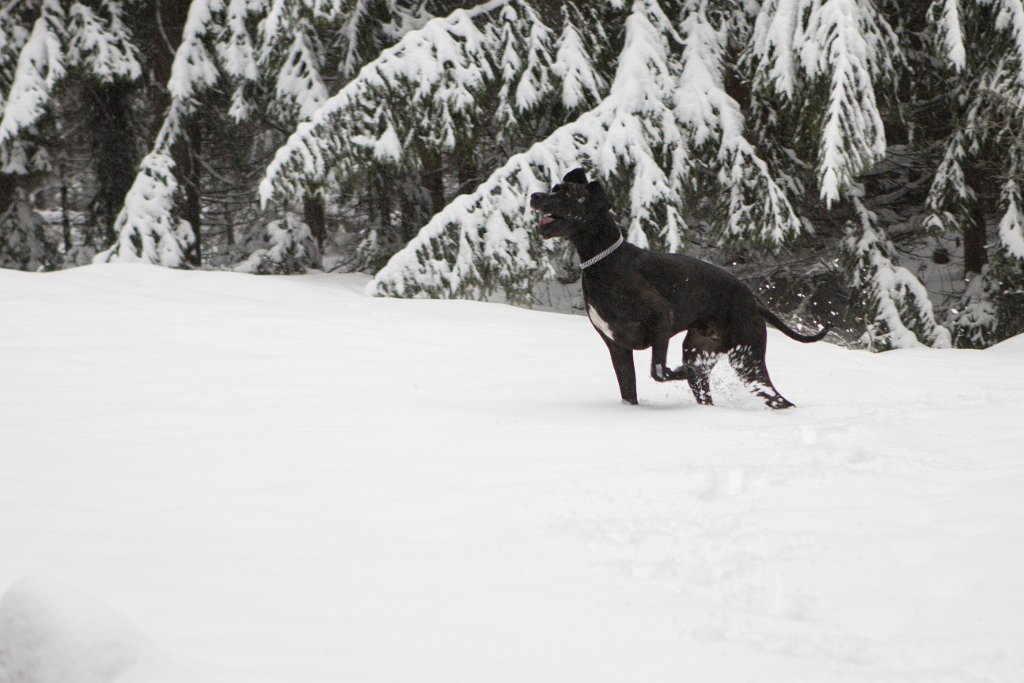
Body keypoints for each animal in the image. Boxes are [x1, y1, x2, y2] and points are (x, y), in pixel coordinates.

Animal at [532, 167, 827, 409]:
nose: (535, 196)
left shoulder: (661, 320)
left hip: (747, 359)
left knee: (778, 399)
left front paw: (681, 372)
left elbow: (658, 370)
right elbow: (630, 392)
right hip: (702, 350)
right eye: (554, 188)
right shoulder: (617, 347)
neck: (604, 262)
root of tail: (754, 301)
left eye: (568, 193)